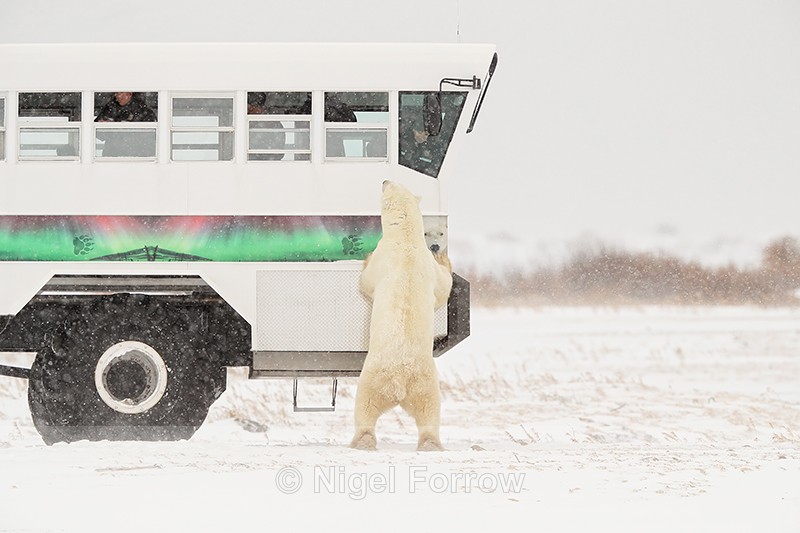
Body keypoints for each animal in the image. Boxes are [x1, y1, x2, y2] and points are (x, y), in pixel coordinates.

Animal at [351, 180, 453, 451]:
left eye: (390, 186)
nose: (384, 180)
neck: (407, 239)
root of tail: (400, 384)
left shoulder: (384, 256)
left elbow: (366, 280)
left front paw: (365, 258)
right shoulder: (427, 265)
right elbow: (443, 286)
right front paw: (445, 259)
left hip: (374, 376)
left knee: (364, 406)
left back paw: (361, 441)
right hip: (426, 383)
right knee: (430, 411)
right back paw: (431, 443)